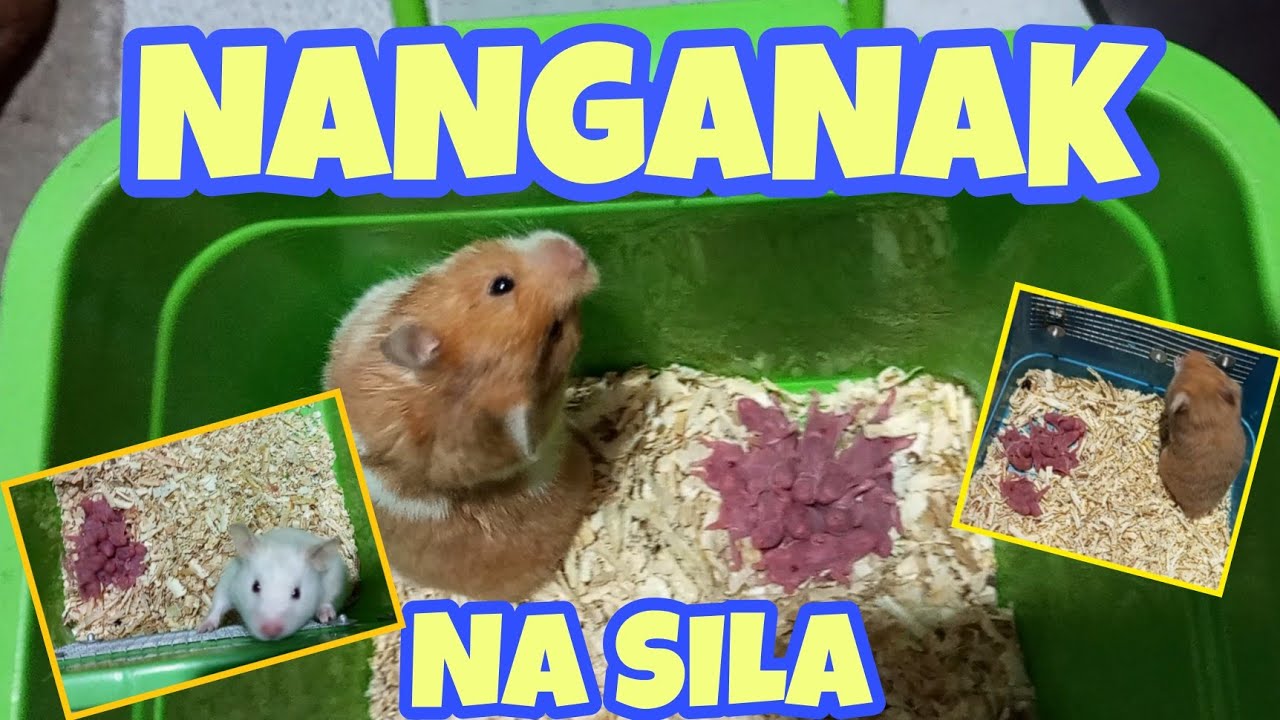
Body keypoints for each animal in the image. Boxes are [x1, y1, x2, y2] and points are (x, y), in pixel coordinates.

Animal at [196, 523, 348, 641]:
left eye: (297, 593)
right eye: (255, 586)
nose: (270, 631)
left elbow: (326, 601)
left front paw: (327, 618)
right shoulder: (228, 581)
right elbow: (218, 605)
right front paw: (202, 629)